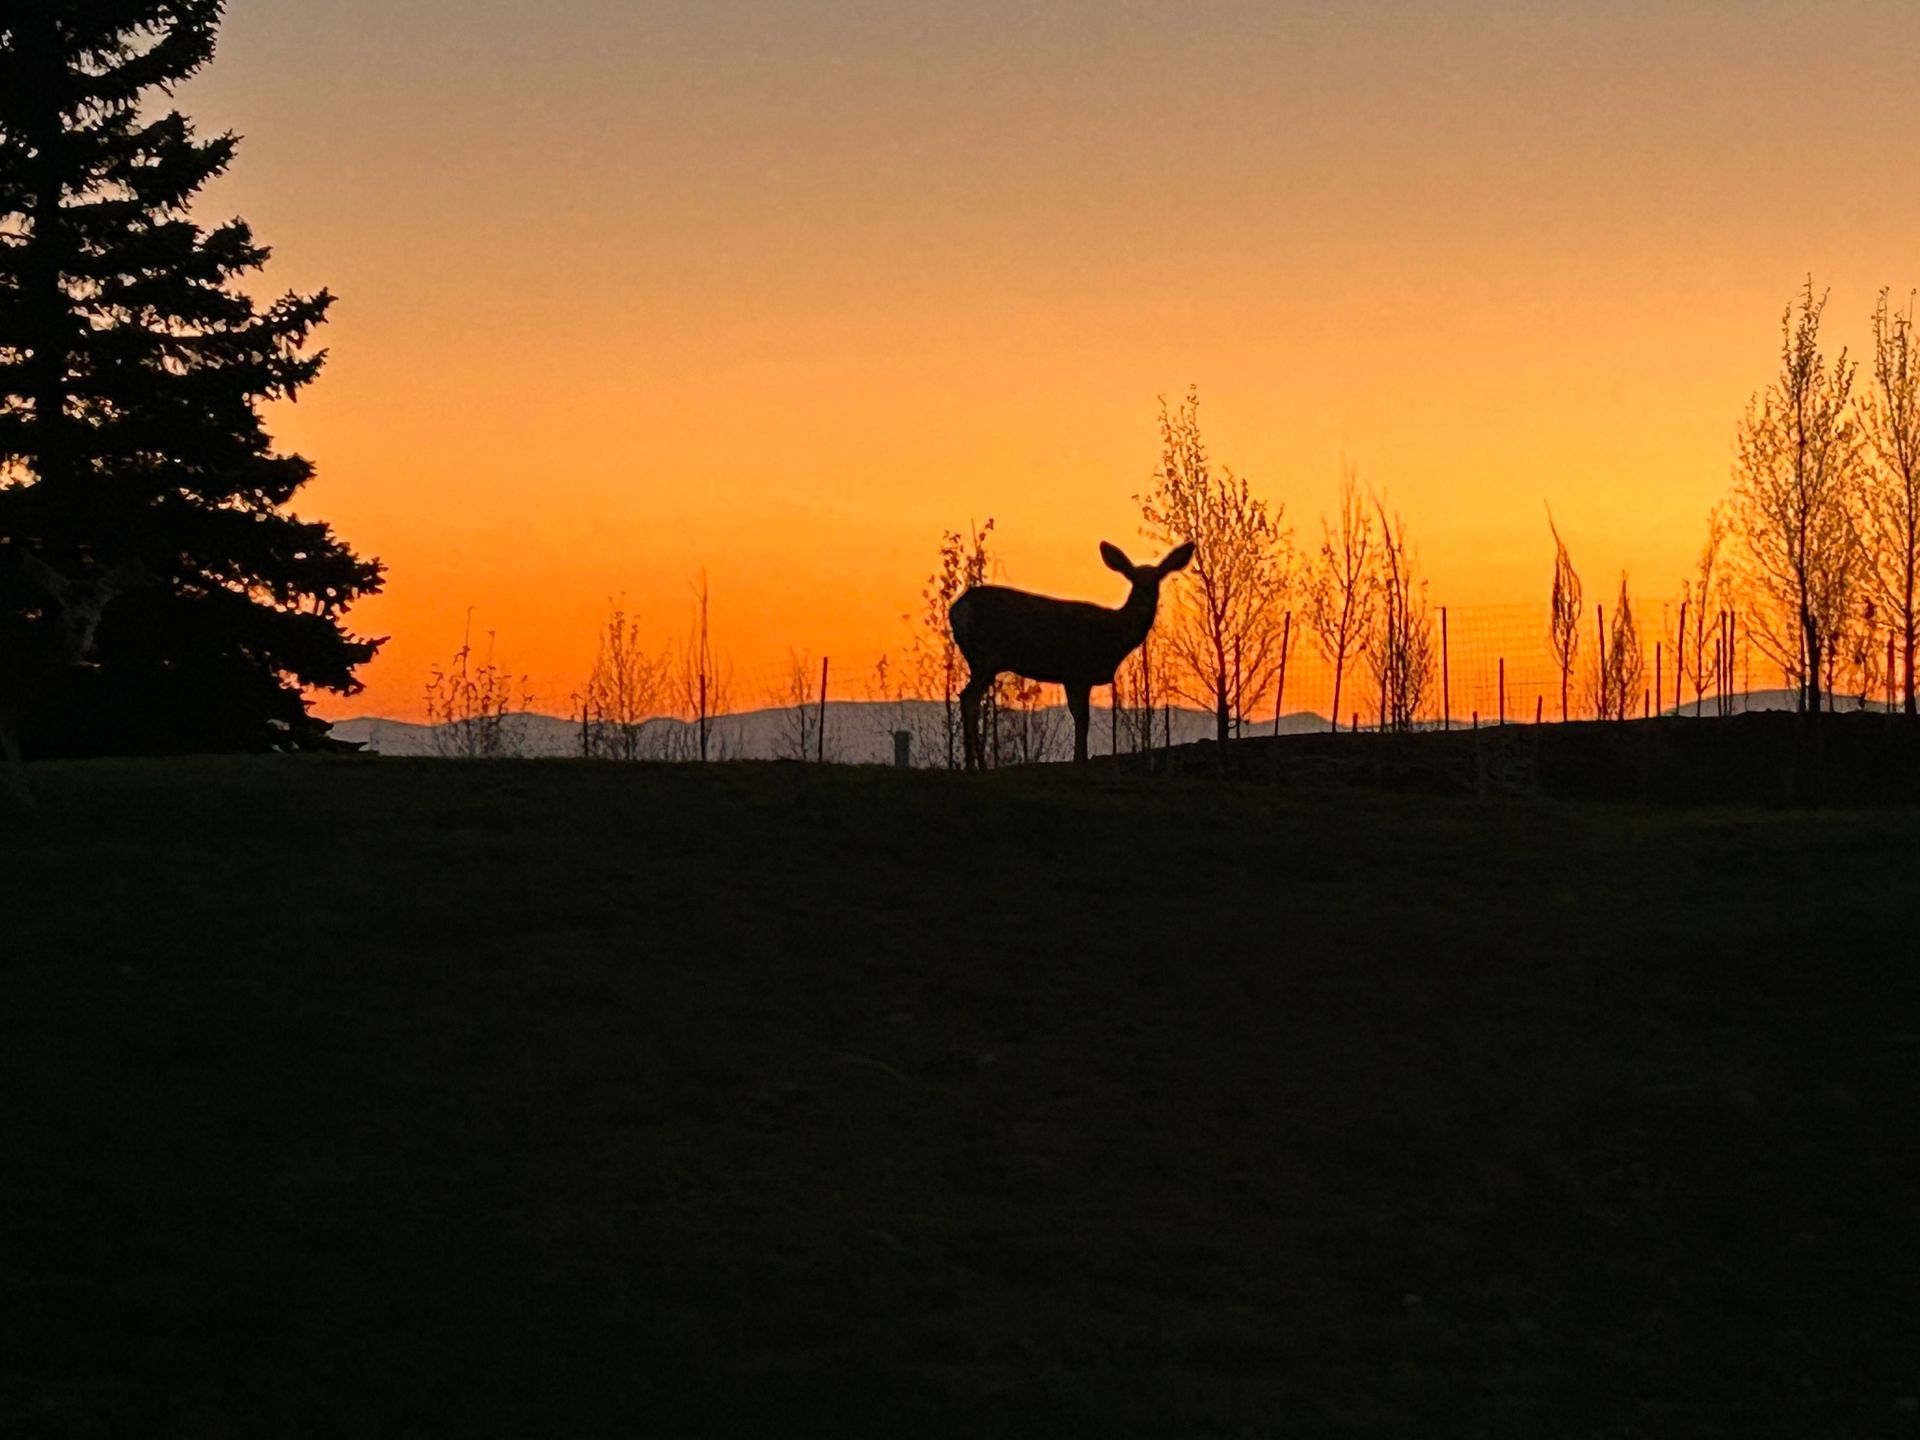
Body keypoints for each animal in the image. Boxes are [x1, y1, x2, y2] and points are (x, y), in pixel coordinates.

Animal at [949, 539, 1194, 769]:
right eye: (1133, 579)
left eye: (1157, 580)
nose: (1145, 599)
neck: (1114, 634)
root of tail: (955, 610)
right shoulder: (1079, 672)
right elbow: (1082, 718)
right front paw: (1080, 763)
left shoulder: (1071, 677)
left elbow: (1078, 716)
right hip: (984, 658)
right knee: (969, 698)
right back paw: (974, 766)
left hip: (983, 662)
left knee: (968, 698)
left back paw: (976, 765)